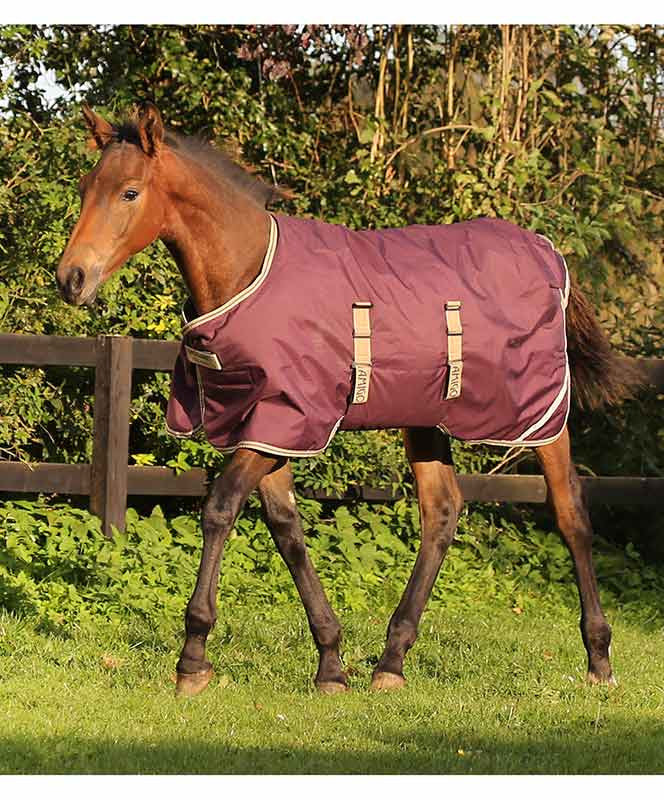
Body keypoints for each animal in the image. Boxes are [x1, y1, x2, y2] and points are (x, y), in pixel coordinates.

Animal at [57, 103, 634, 697]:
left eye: (129, 192)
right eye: (84, 186)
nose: (70, 278)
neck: (248, 271)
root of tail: (548, 253)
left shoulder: (285, 421)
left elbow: (220, 508)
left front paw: (192, 660)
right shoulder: (268, 428)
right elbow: (286, 528)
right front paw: (331, 663)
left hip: (539, 417)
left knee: (570, 513)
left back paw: (599, 658)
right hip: (424, 419)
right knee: (442, 511)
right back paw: (391, 661)